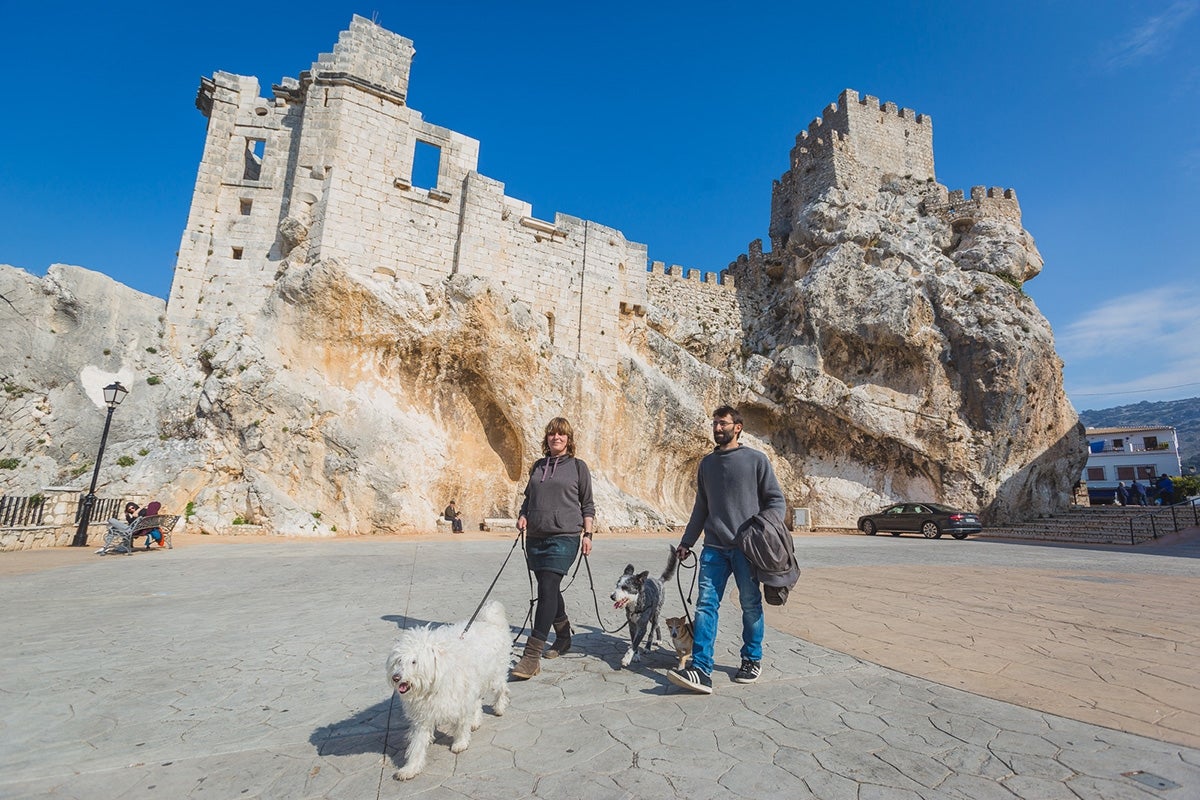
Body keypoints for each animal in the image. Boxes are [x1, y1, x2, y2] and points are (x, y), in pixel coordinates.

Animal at [386, 604, 513, 777]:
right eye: (399, 660)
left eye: (414, 662)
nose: (396, 677)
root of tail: (490, 621)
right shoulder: (423, 716)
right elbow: (417, 744)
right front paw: (411, 768)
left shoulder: (462, 701)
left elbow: (461, 724)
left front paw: (460, 743)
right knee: (477, 701)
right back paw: (475, 721)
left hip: (495, 675)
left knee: (502, 689)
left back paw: (499, 707)